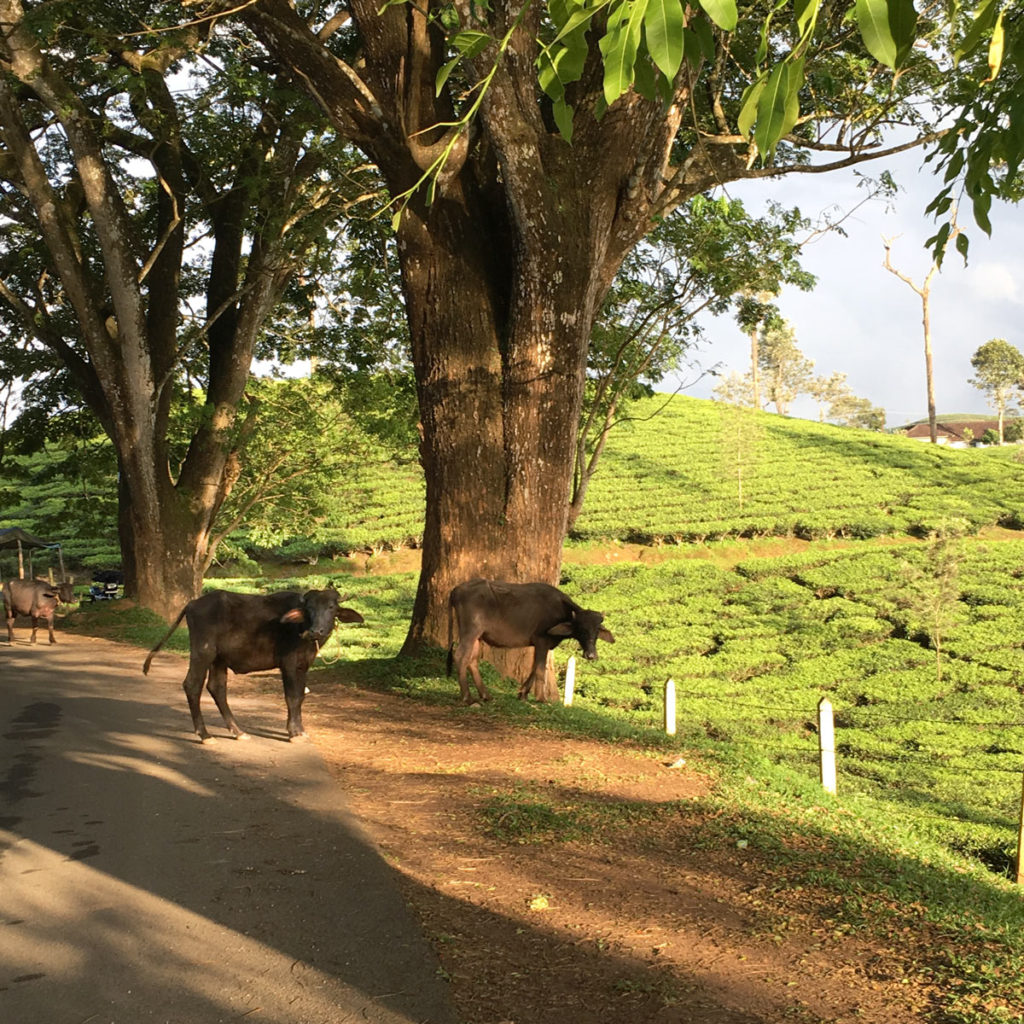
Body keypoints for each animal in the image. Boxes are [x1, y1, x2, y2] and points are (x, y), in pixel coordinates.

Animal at [142, 585, 366, 745]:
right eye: (309, 609)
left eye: (331, 608)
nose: (316, 631)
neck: (300, 628)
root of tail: (192, 604)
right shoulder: (289, 664)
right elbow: (292, 697)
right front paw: (294, 733)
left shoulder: (304, 666)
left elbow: (301, 696)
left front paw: (300, 730)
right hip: (203, 653)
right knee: (192, 685)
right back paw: (205, 735)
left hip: (218, 660)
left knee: (216, 688)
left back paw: (238, 732)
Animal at [448, 581, 614, 708]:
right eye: (581, 629)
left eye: (597, 631)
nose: (591, 655)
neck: (560, 610)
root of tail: (457, 590)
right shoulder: (542, 640)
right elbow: (540, 669)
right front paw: (542, 698)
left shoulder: (540, 645)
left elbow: (535, 667)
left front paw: (523, 693)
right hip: (470, 631)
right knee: (460, 656)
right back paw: (467, 698)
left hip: (478, 637)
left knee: (472, 660)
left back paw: (485, 695)